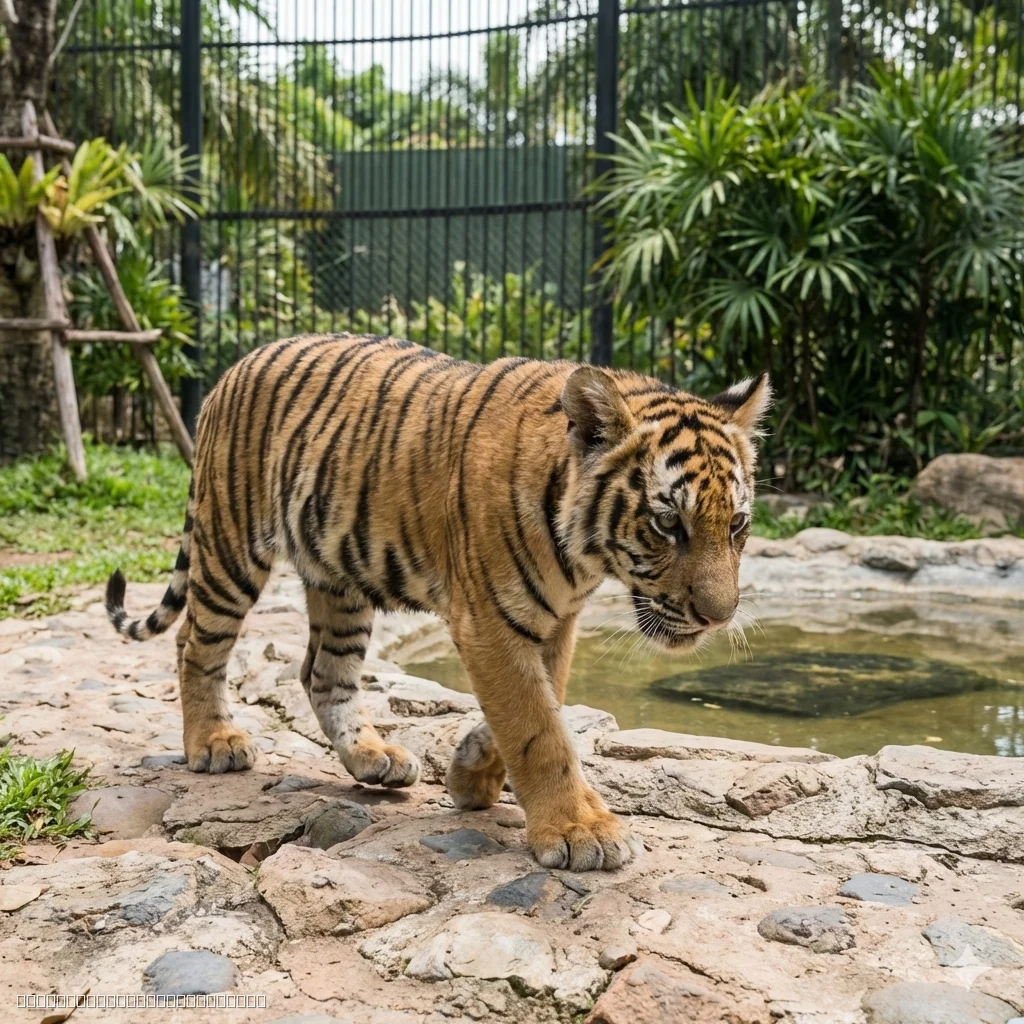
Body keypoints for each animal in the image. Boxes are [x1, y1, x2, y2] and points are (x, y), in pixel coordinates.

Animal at [106, 333, 770, 872]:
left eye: (737, 524)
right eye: (668, 524)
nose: (718, 617)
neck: (583, 559)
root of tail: (238, 363)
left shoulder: (554, 622)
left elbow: (546, 702)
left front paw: (473, 771)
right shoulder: (489, 622)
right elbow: (538, 728)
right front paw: (580, 831)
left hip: (340, 578)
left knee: (323, 673)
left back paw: (372, 757)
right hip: (231, 546)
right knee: (196, 644)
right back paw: (214, 743)